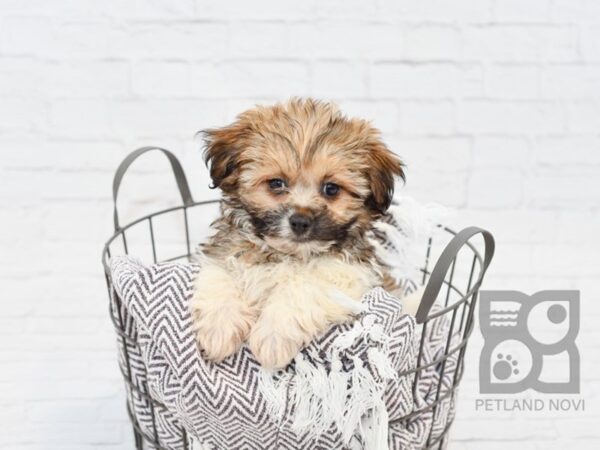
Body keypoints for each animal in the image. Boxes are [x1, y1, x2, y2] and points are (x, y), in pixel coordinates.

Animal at [192, 98, 406, 370]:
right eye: (276, 183)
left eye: (331, 189)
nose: (300, 221)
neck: (289, 254)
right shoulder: (225, 251)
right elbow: (222, 274)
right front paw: (220, 327)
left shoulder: (347, 273)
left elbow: (304, 287)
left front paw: (273, 336)